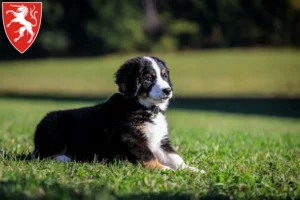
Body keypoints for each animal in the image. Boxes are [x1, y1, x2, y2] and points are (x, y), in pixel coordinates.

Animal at [31, 56, 199, 172]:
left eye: (164, 76)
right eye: (148, 78)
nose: (168, 90)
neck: (144, 108)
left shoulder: (160, 142)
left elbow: (176, 158)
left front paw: (192, 170)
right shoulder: (132, 138)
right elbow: (149, 157)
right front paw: (164, 170)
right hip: (52, 130)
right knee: (41, 154)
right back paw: (63, 158)